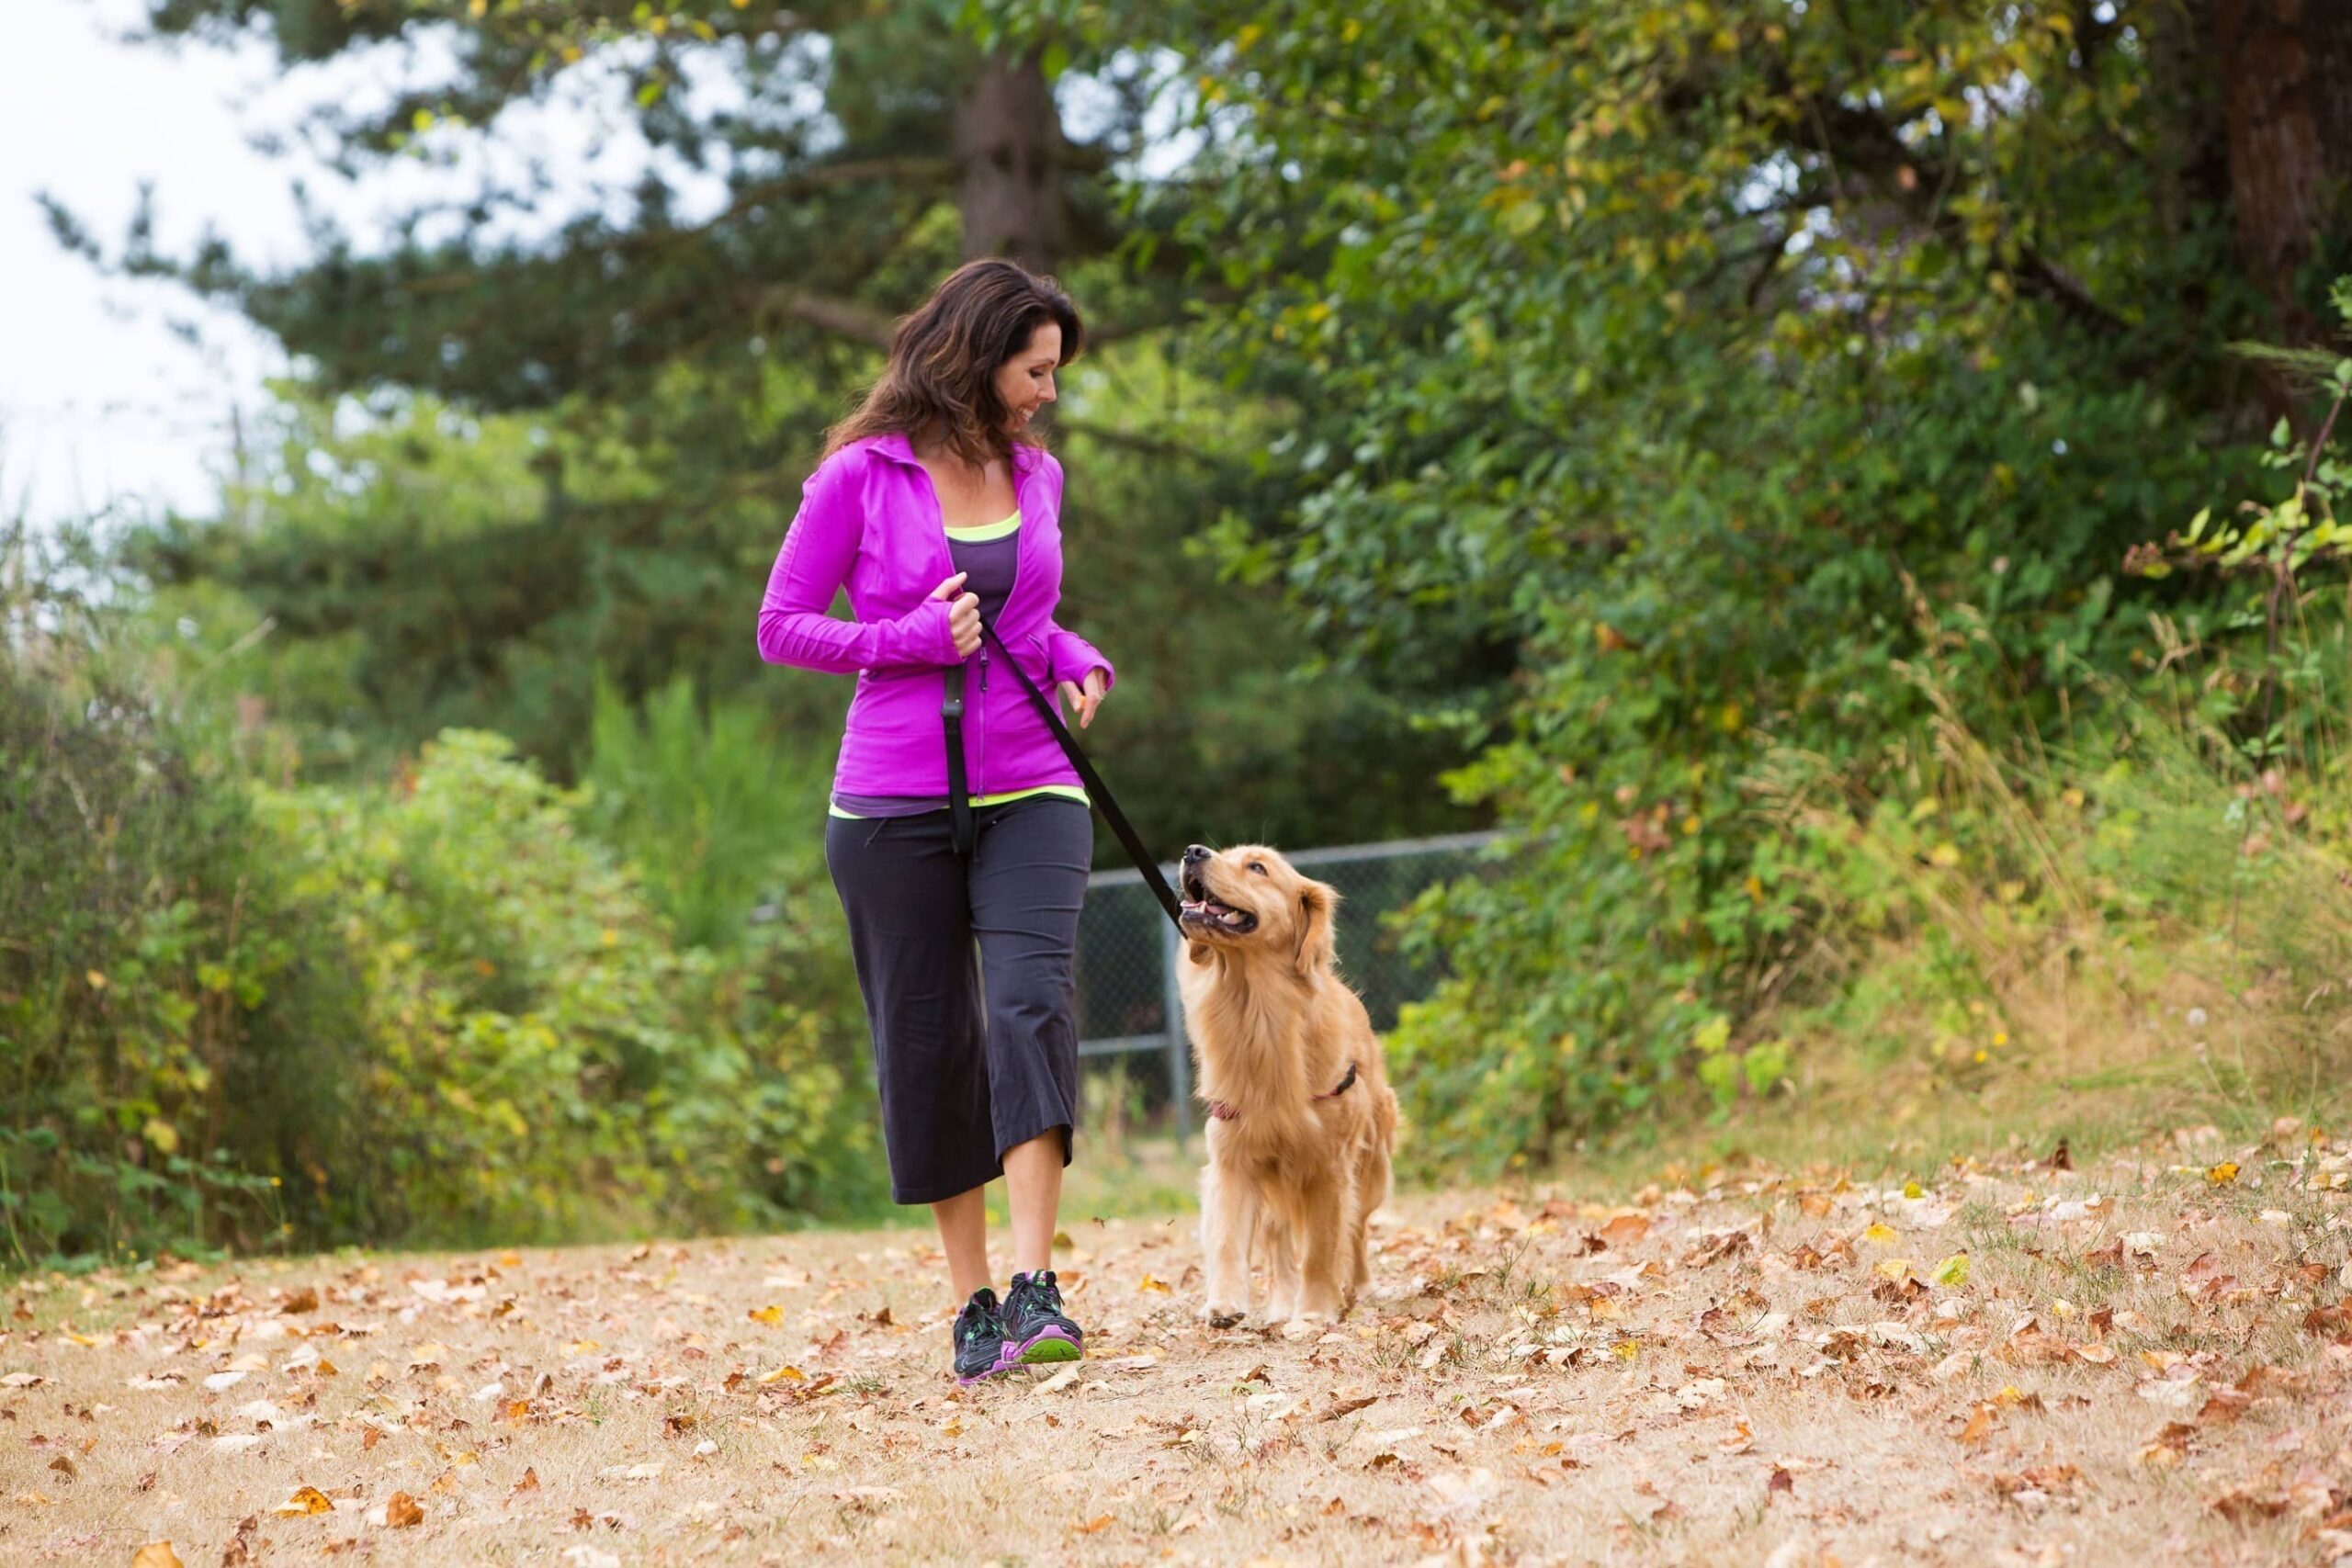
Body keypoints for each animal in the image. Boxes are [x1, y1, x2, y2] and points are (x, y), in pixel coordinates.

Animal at [1176, 841, 1392, 1344]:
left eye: (1257, 867)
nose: (1192, 851)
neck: (1257, 1012)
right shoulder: (1233, 1159)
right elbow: (1228, 1237)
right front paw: (1225, 1302)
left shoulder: (1329, 1169)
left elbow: (1322, 1249)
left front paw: (1312, 1314)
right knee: (1276, 1242)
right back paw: (1278, 1305)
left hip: (1370, 1168)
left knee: (1357, 1232)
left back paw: (1361, 1288)